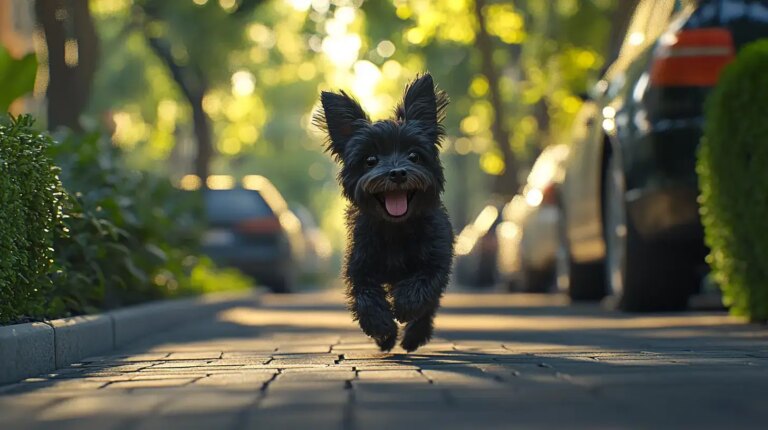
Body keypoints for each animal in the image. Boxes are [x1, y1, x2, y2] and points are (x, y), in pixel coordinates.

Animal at [314, 74, 452, 352]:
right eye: (370, 160)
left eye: (414, 155)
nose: (397, 173)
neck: (395, 228)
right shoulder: (360, 268)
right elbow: (365, 298)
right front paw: (381, 328)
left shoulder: (436, 261)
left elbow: (422, 287)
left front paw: (404, 306)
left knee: (429, 307)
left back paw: (413, 337)